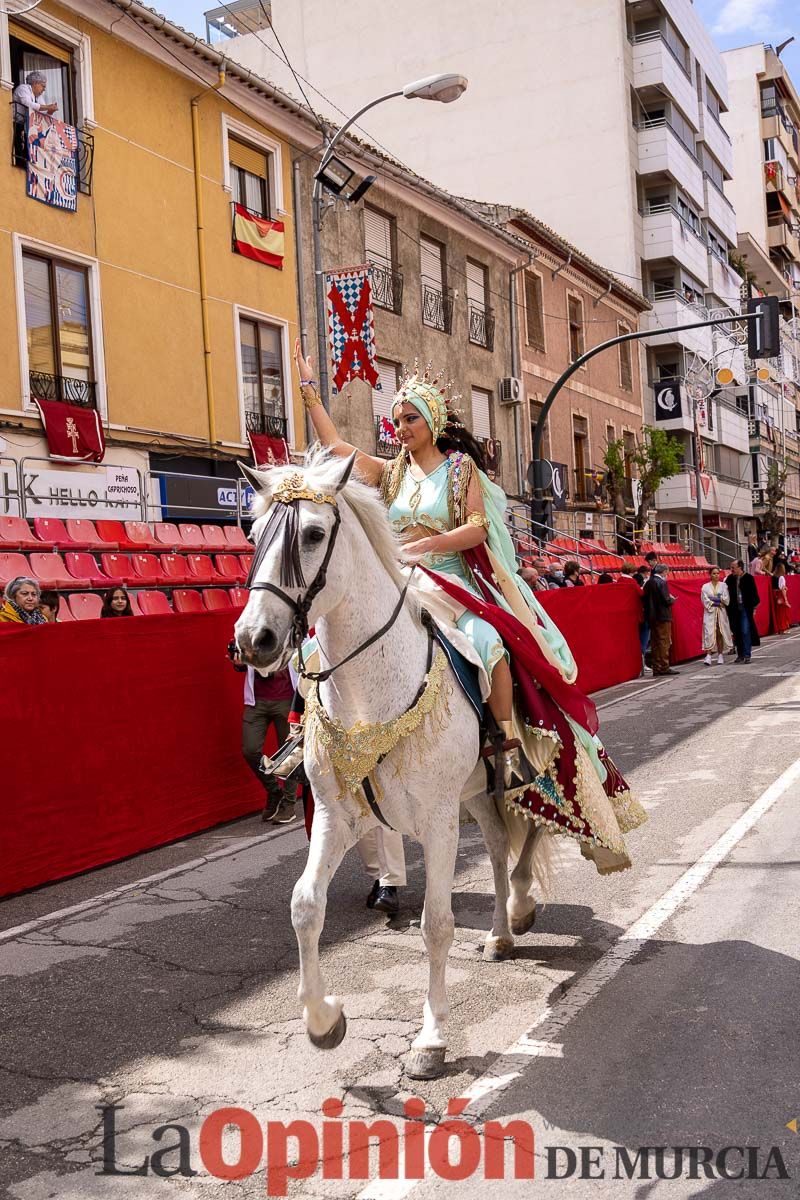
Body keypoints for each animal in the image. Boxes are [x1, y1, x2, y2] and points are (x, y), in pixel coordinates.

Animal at [232, 453, 544, 1084]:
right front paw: (324, 1021)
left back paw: (522, 904)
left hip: (530, 766)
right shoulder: (337, 815)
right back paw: (500, 934)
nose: (254, 640)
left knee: (539, 823)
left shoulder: (438, 821)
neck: (369, 692)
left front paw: (430, 1040)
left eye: (313, 534)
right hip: (475, 795)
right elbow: (305, 905)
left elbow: (436, 924)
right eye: (253, 536)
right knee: (498, 842)